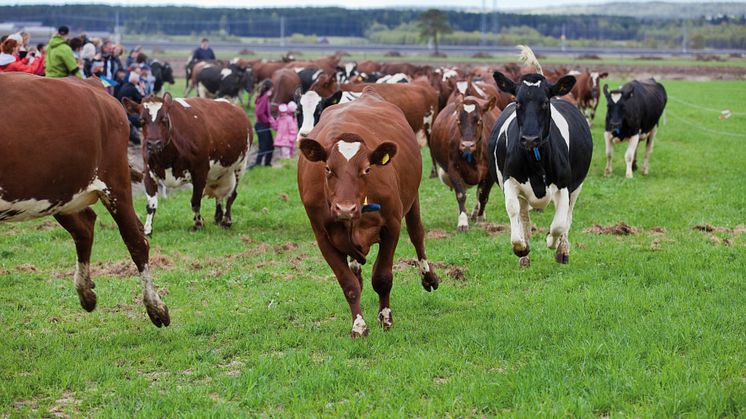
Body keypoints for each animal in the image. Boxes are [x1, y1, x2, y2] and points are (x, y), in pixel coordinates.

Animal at [0, 73, 170, 328]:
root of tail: (90, 82)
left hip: (114, 181)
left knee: (137, 240)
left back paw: (155, 307)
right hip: (59, 191)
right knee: (85, 226)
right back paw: (86, 292)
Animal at [120, 92, 250, 236]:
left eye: (164, 119)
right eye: (142, 120)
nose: (154, 144)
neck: (167, 159)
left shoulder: (200, 171)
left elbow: (195, 202)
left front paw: (198, 224)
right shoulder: (148, 172)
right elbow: (151, 205)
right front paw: (147, 229)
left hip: (240, 166)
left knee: (232, 195)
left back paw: (226, 221)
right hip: (219, 174)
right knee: (219, 194)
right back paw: (218, 218)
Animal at [294, 91, 438, 338]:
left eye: (367, 169)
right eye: (327, 169)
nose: (345, 208)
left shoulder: (391, 226)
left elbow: (382, 278)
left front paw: (386, 319)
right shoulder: (323, 238)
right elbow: (349, 285)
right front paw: (359, 326)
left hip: (413, 199)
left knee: (417, 234)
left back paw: (427, 276)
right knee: (355, 271)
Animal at [428, 95, 496, 231]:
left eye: (479, 121)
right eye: (458, 121)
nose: (467, 145)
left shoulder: (489, 174)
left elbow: (483, 196)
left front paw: (480, 218)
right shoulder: (454, 169)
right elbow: (461, 195)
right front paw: (463, 222)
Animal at [488, 67, 592, 268]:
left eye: (544, 102)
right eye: (518, 102)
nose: (530, 138)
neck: (535, 159)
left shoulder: (564, 185)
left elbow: (559, 224)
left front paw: (551, 241)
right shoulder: (509, 180)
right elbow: (512, 209)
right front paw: (520, 246)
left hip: (577, 186)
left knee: (568, 216)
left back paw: (562, 250)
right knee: (523, 215)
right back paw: (525, 255)